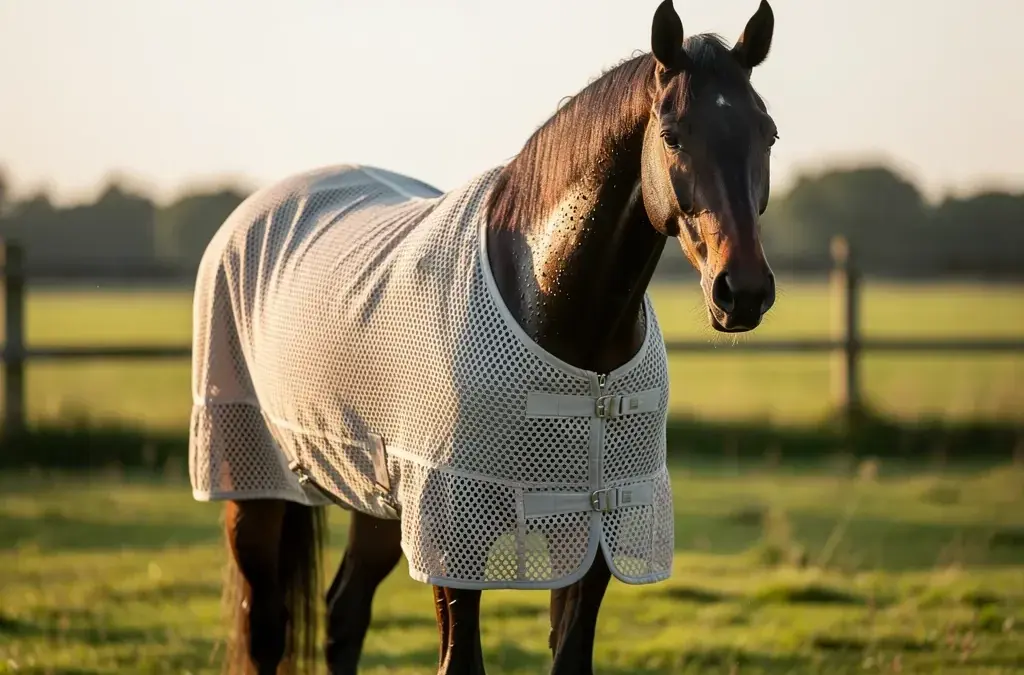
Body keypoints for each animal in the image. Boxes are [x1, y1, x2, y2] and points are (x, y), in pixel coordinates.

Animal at [188, 1, 779, 673]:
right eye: (674, 135)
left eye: (768, 133)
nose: (743, 290)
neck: (549, 304)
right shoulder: (452, 542)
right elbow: (460, 660)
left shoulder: (591, 533)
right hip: (255, 493)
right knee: (267, 626)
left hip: (382, 503)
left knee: (343, 613)